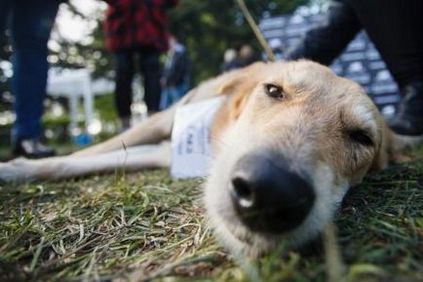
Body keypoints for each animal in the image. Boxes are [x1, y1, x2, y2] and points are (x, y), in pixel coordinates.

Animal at [0, 60, 410, 258]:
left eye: (362, 138)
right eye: (273, 91)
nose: (270, 192)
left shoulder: (164, 154)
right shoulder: (162, 125)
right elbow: (86, 155)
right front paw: (18, 167)